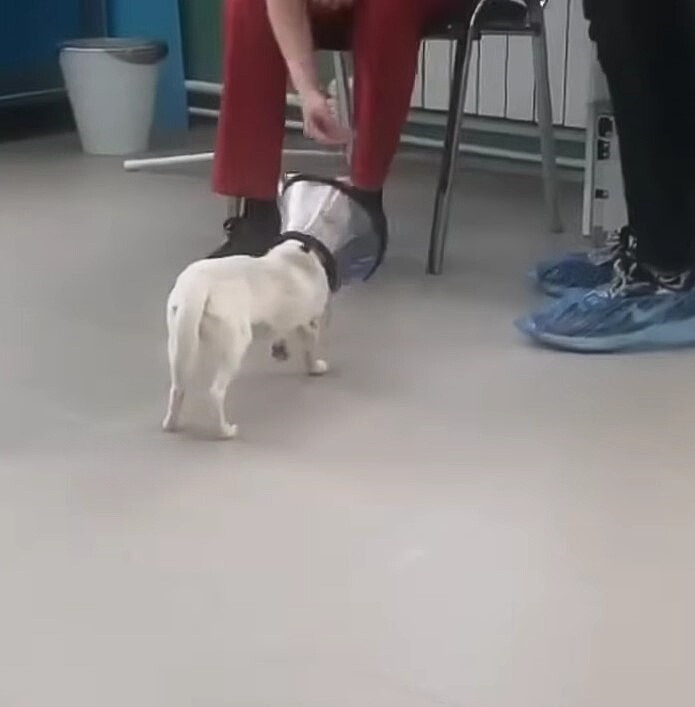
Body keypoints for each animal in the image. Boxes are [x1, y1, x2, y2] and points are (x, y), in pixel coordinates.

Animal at [166, 241, 334, 440]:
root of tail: (197, 286)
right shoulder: (309, 324)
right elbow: (309, 352)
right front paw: (315, 368)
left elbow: (280, 334)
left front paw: (280, 349)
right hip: (235, 347)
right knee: (216, 392)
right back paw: (225, 431)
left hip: (179, 345)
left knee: (178, 388)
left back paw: (170, 424)